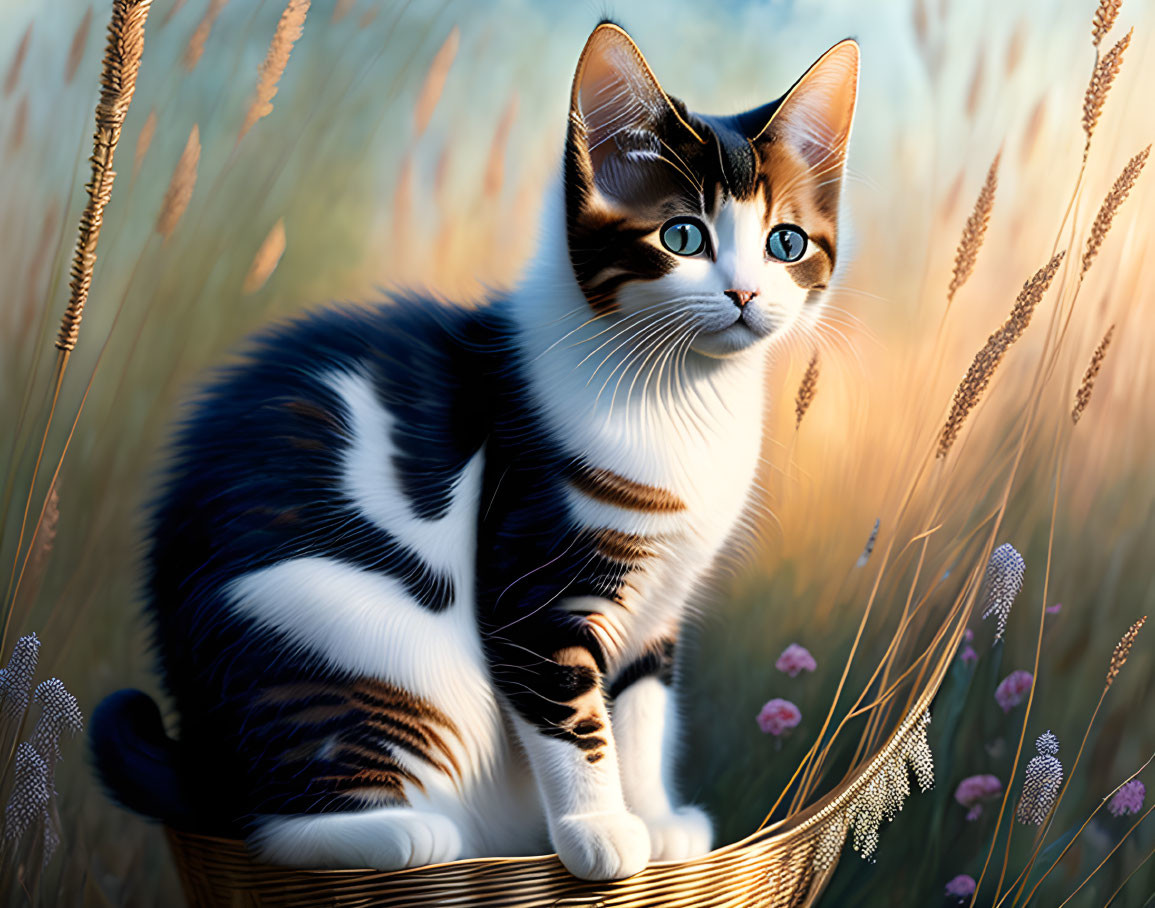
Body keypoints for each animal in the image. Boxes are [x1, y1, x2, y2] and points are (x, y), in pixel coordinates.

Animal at [92, 21, 859, 882]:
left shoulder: (658, 605)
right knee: (276, 826)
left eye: (785, 242)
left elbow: (640, 714)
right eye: (682, 236)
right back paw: (404, 835)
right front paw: (598, 829)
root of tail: (202, 751)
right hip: (338, 636)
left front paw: (655, 821)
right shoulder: (533, 583)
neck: (683, 396)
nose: (745, 295)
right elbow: (574, 718)